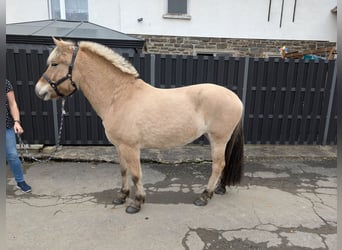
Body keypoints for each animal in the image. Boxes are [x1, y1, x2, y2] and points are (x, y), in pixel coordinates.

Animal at [34, 38, 243, 214]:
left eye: (54, 64)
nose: (38, 91)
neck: (119, 97)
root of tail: (236, 98)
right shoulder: (119, 147)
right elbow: (123, 171)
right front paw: (122, 196)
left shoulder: (131, 147)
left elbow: (136, 174)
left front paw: (137, 203)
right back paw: (219, 189)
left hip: (218, 139)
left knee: (218, 165)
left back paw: (205, 196)